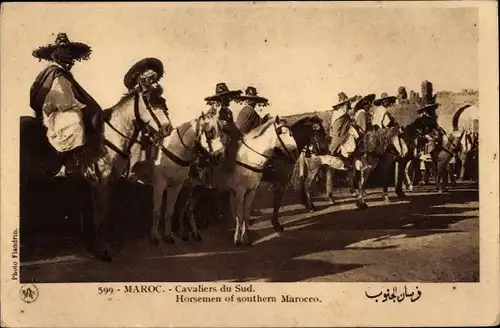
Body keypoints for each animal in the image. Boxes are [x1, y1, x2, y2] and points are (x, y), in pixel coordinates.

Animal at [20, 82, 172, 262]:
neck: (108, 139)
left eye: (162, 100)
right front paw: (101, 250)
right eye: (149, 102)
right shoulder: (101, 183)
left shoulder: (106, 183)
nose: (168, 128)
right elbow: (99, 215)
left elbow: (99, 214)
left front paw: (93, 243)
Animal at [148, 109, 225, 245]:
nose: (220, 156)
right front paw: (154, 237)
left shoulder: (177, 186)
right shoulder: (159, 184)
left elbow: (170, 211)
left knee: (187, 208)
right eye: (209, 131)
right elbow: (157, 210)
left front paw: (168, 236)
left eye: (222, 131)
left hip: (196, 189)